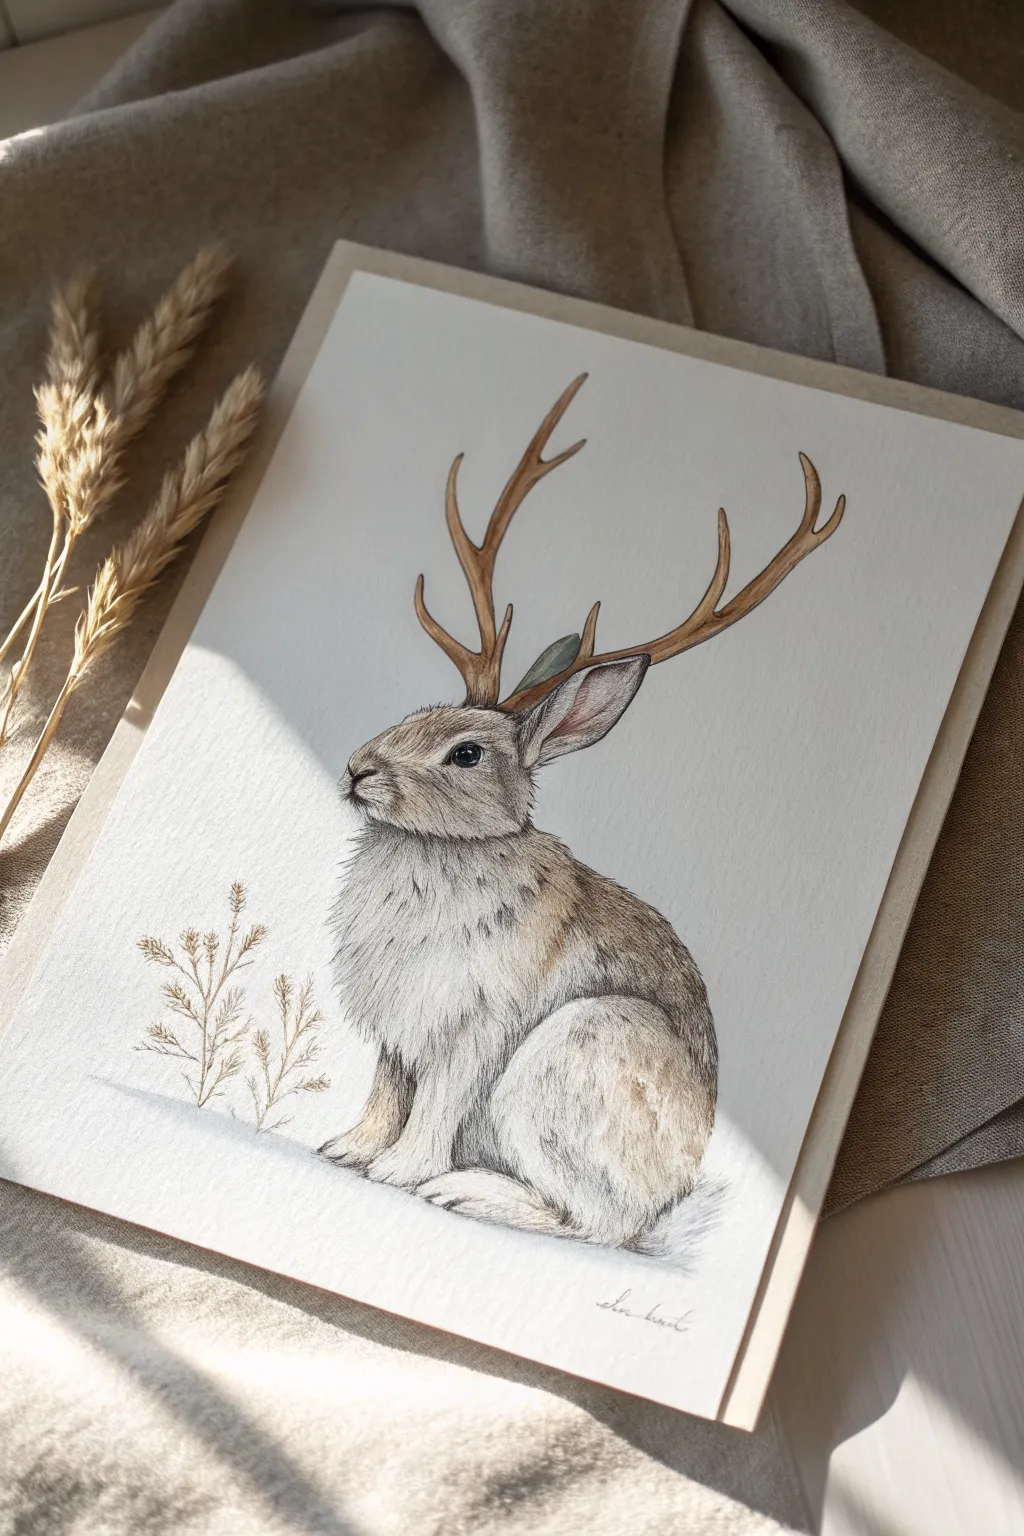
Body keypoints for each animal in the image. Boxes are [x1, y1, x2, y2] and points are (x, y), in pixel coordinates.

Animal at [321, 655, 718, 1250]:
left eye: (466, 754)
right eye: (413, 716)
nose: (357, 770)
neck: (443, 846)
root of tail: (676, 1184)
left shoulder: (474, 1025)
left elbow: (438, 1099)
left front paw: (396, 1171)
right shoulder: (399, 1033)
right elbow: (385, 1095)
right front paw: (347, 1150)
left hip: (576, 1053)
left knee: (597, 1224)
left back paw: (462, 1192)